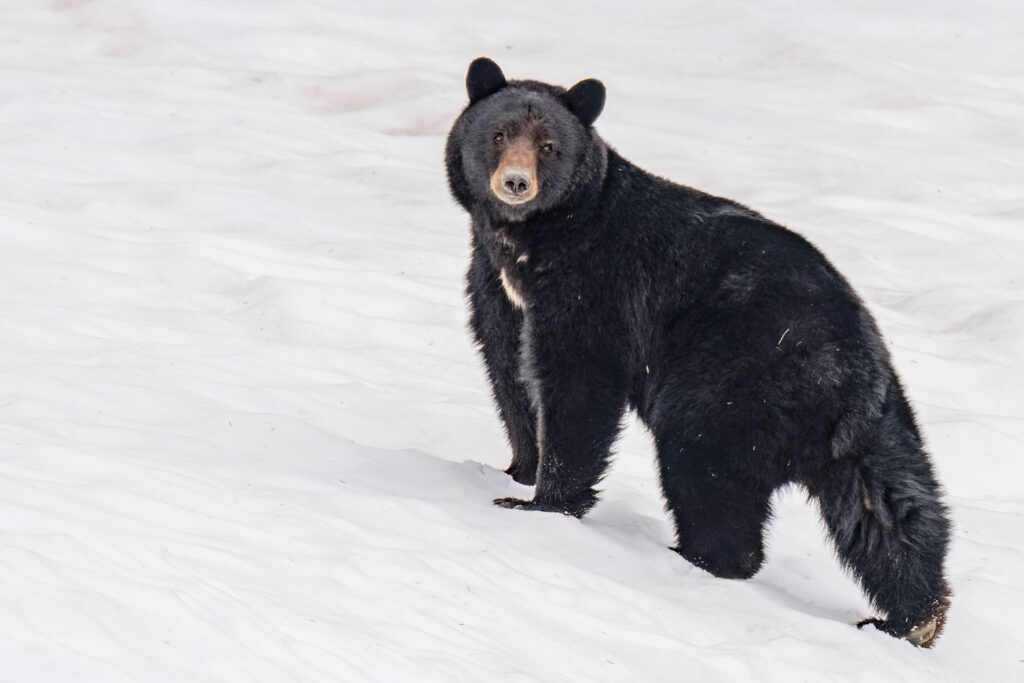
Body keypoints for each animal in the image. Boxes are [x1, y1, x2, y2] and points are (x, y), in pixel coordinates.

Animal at [445, 57, 951, 647]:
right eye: (498, 134)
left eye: (548, 145)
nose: (516, 183)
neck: (535, 243)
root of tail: (844, 378)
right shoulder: (499, 288)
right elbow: (508, 368)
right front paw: (516, 469)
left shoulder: (598, 288)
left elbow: (579, 383)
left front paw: (539, 500)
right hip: (877, 423)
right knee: (891, 507)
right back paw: (911, 618)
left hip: (729, 379)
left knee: (705, 468)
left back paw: (699, 557)